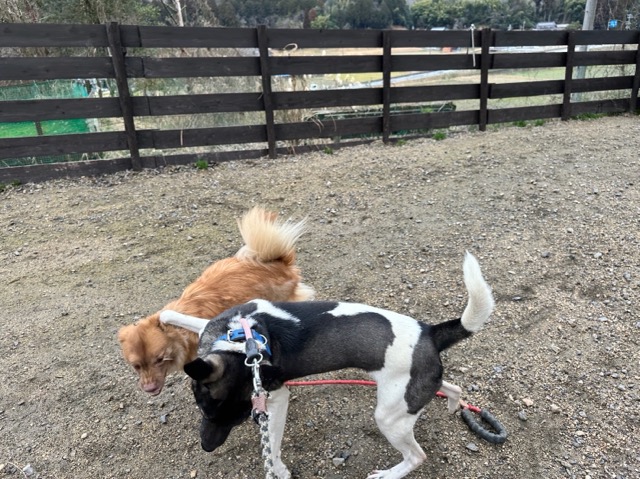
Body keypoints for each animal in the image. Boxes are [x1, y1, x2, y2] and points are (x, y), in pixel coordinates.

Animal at [170, 252, 494, 479]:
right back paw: (451, 403)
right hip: (415, 387)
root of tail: (430, 333)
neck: (242, 342)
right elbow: (178, 317)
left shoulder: (276, 397)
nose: (207, 447)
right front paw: (167, 317)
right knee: (450, 386)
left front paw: (279, 468)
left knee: (416, 456)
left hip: (389, 416)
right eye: (203, 411)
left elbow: (272, 442)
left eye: (239, 420)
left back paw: (389, 474)